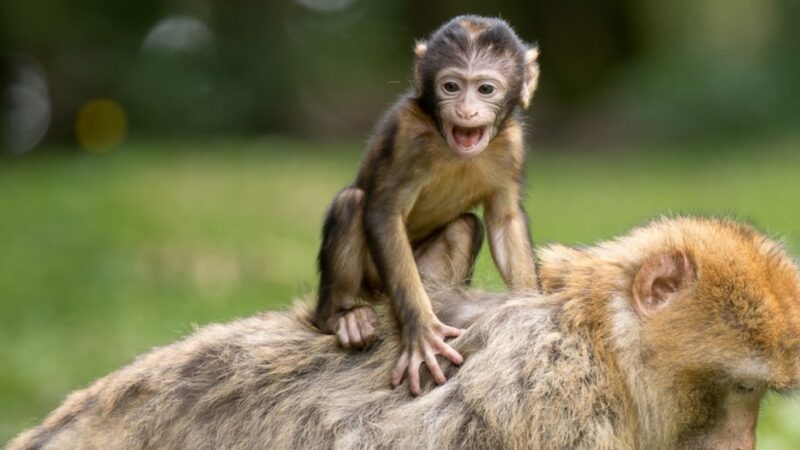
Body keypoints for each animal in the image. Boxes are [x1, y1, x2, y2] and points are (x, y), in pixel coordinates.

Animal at [312, 14, 536, 394]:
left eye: (485, 89)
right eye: (451, 86)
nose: (466, 110)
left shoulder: (512, 145)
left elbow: (504, 221)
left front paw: (532, 309)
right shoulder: (407, 136)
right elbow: (384, 213)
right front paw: (422, 333)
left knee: (464, 227)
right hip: (374, 282)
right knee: (352, 203)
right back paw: (340, 317)